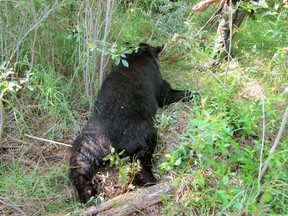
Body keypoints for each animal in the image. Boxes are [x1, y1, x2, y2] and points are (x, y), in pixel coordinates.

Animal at [68, 43, 197, 203]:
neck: (138, 54)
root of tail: (107, 144)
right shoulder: (163, 92)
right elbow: (180, 93)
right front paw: (196, 94)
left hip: (82, 151)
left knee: (78, 173)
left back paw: (87, 193)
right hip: (147, 137)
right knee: (139, 162)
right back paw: (151, 181)